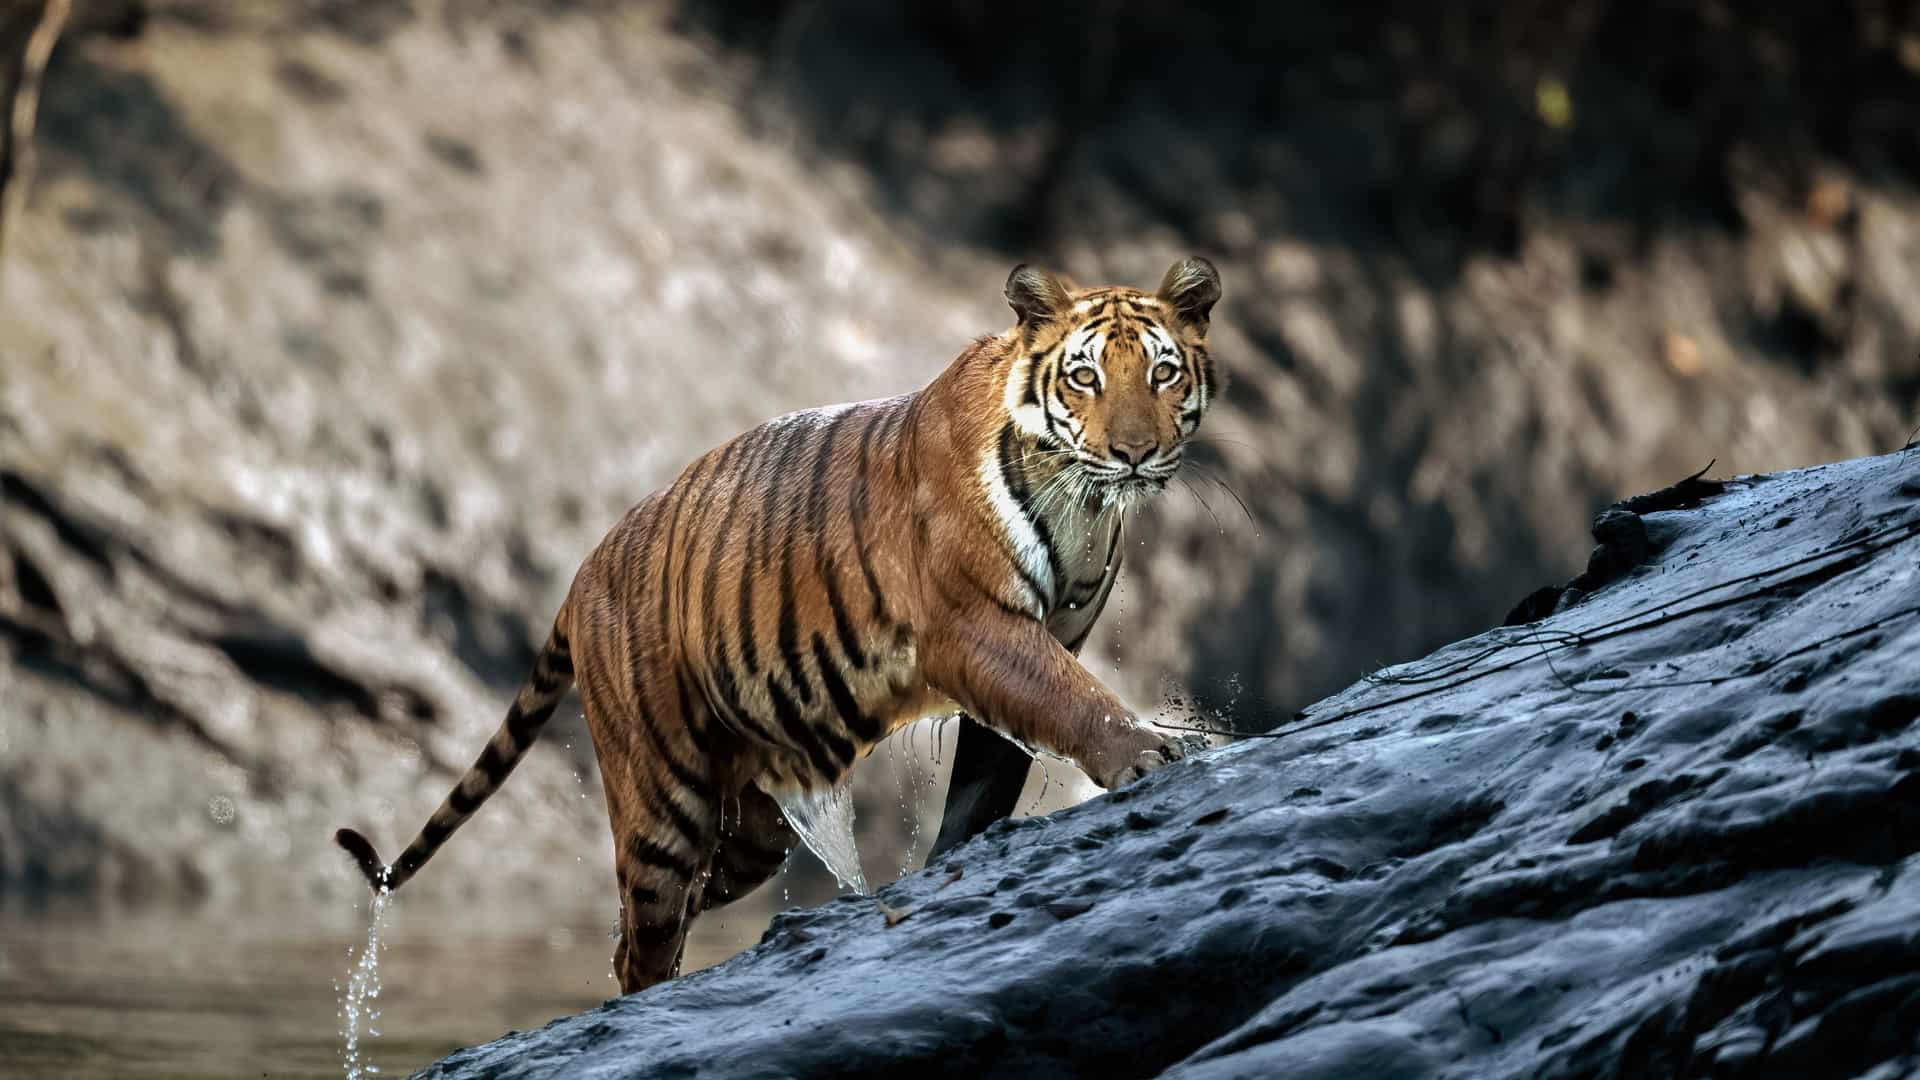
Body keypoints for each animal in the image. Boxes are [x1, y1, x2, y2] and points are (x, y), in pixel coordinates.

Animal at [335, 257, 1224, 994]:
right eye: (1084, 377)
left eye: (1162, 372)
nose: (1135, 453)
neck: (1085, 505)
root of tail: (581, 571)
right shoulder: (977, 628)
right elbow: (1072, 699)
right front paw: (1153, 751)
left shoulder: (1039, 640)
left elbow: (983, 784)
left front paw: (951, 866)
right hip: (663, 804)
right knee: (641, 940)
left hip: (751, 828)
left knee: (658, 919)